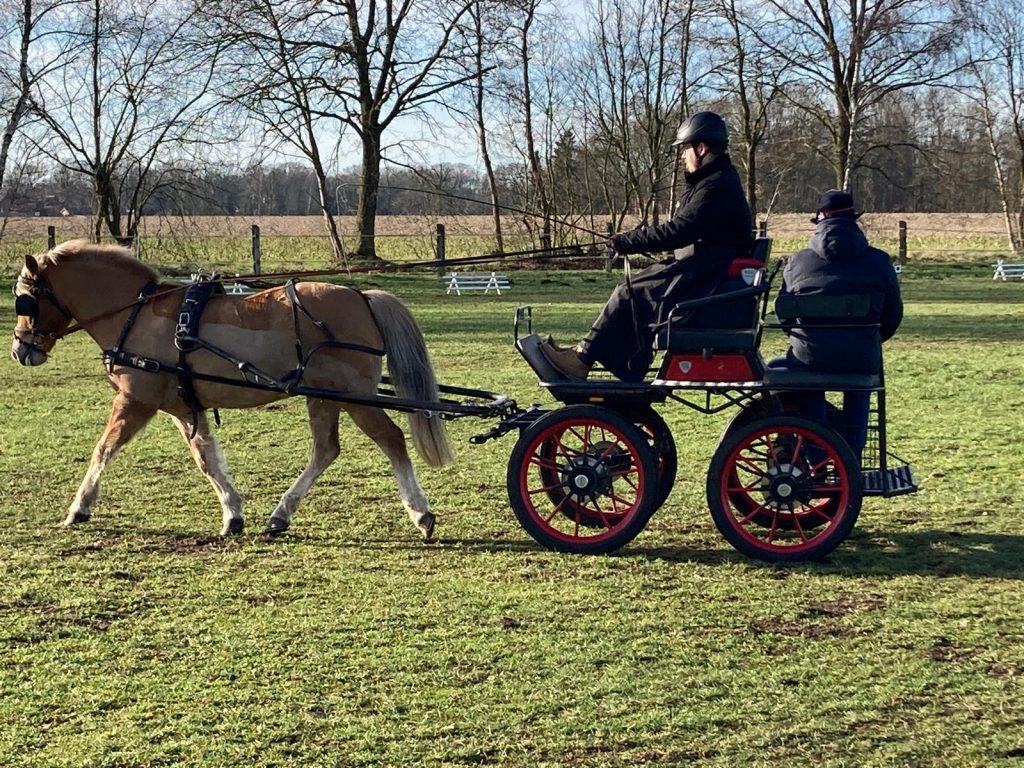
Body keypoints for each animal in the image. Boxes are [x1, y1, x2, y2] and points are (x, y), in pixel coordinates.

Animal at [10, 240, 452, 539]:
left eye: (25, 300)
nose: (20, 349)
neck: (135, 315)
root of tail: (362, 296)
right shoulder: (183, 406)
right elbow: (206, 458)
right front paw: (232, 513)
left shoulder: (137, 399)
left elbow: (103, 449)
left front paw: (79, 508)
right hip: (322, 396)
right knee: (326, 450)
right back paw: (280, 516)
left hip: (353, 398)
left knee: (391, 439)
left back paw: (420, 513)